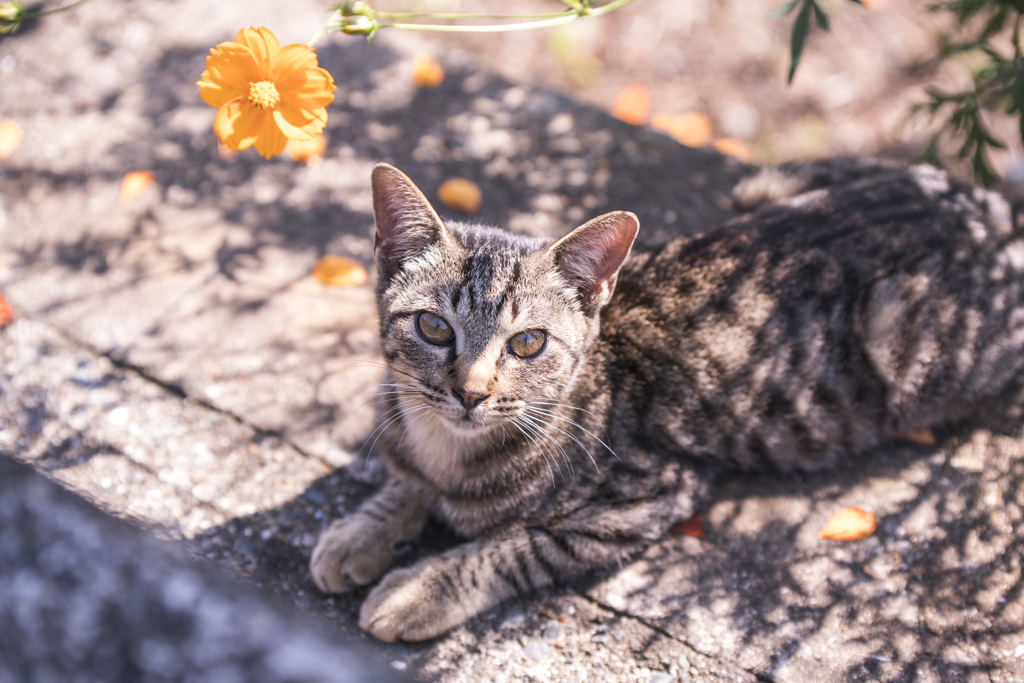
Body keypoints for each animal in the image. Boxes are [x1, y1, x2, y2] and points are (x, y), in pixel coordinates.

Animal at [309, 158, 1024, 643]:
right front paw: (362, 529)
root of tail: (989, 210)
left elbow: (511, 546)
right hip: (764, 185)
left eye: (528, 343)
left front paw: (420, 587)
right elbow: (407, 482)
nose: (470, 392)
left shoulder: (643, 498)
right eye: (434, 328)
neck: (451, 451)